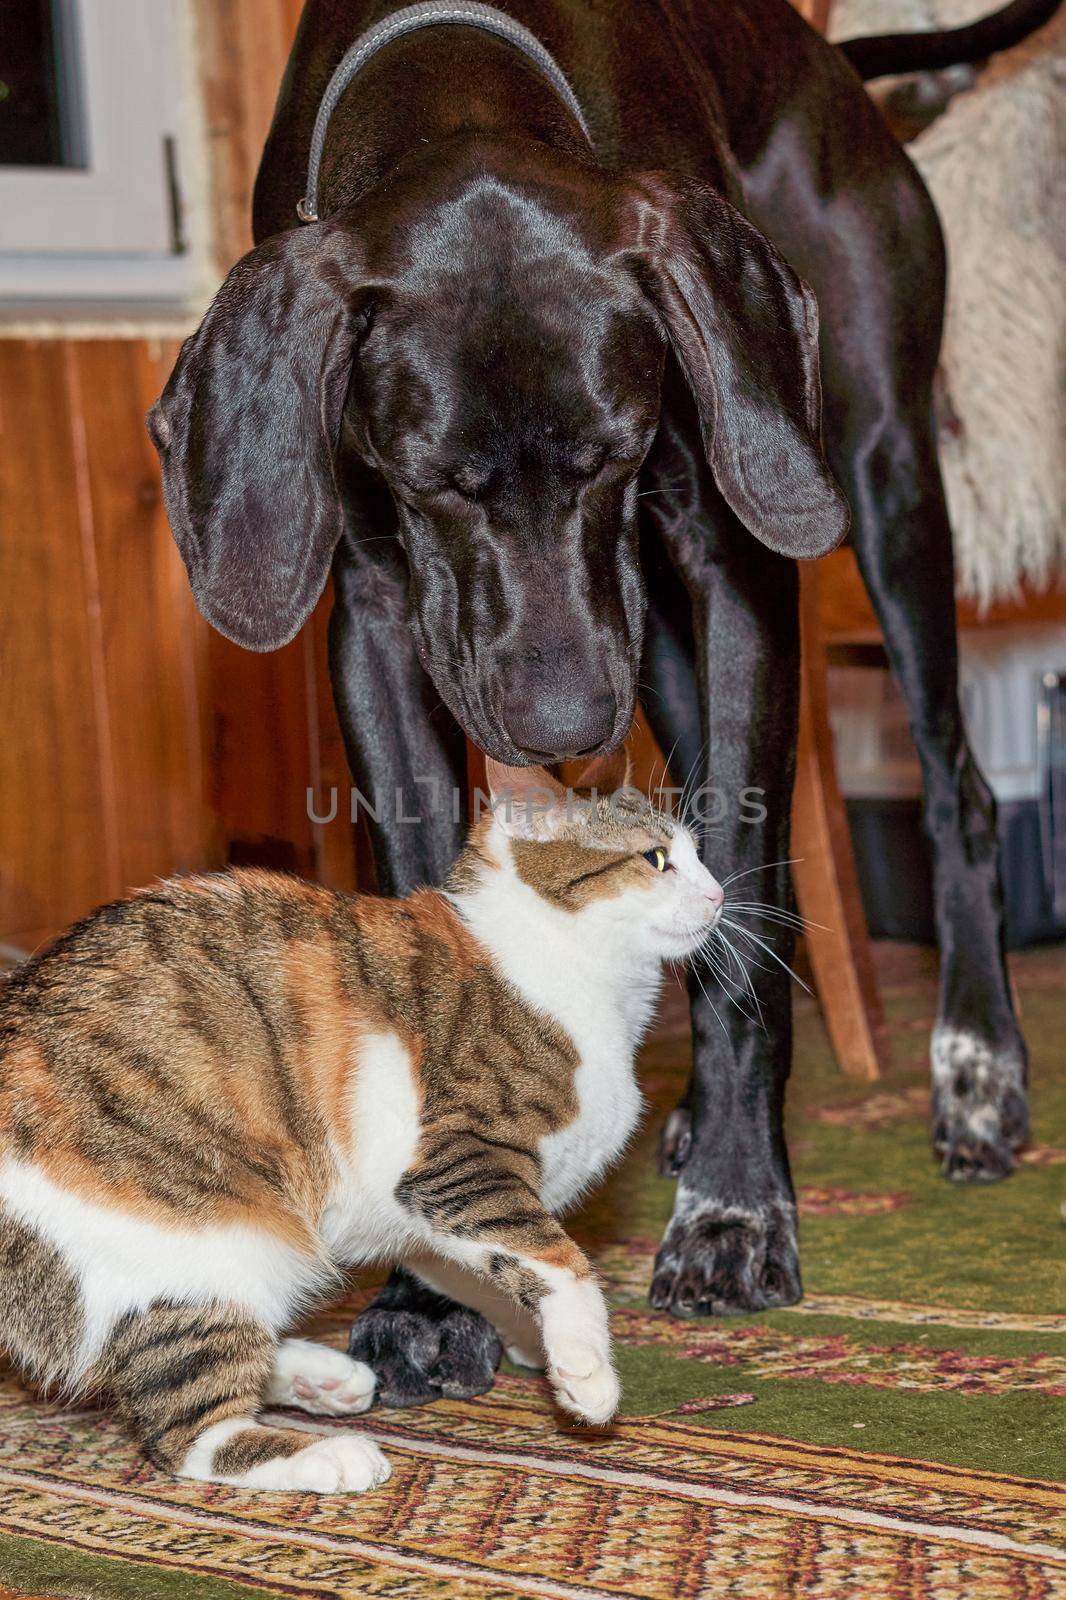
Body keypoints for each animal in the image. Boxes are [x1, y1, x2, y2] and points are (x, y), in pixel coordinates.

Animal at [0, 758, 723, 1484]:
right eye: (657, 859)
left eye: (697, 856)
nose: (719, 896)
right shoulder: (457, 1165)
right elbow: (561, 1263)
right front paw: (585, 1367)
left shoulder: (427, 1215)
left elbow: (481, 1270)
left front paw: (532, 1338)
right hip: (215, 1237)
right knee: (185, 1430)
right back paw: (328, 1455)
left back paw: (318, 1377)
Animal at [145, 0, 1043, 1408]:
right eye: (431, 479)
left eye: (611, 454)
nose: (564, 726)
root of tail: (835, 62)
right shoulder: (373, 616)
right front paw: (424, 1287)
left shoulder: (734, 570)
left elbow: (743, 925)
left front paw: (735, 1209)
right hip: (663, 650)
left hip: (879, 475)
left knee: (952, 791)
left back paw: (972, 1072)